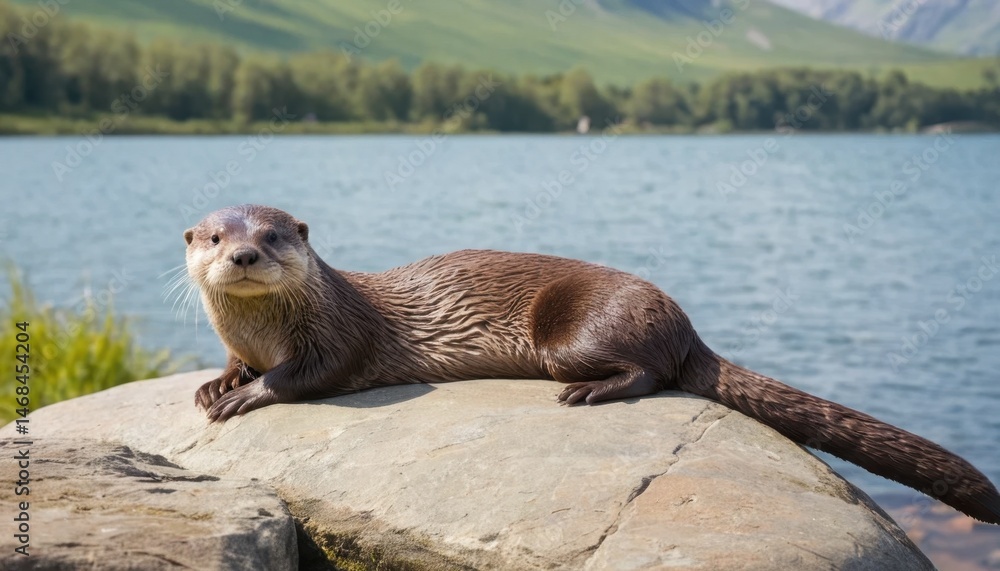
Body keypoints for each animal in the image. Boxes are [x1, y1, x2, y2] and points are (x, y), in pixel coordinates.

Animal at [183, 204, 1000, 525]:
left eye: (274, 235)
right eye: (216, 235)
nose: (244, 254)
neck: (263, 334)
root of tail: (682, 320)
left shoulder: (339, 337)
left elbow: (308, 377)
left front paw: (246, 394)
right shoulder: (245, 339)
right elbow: (230, 361)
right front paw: (217, 380)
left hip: (575, 329)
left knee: (651, 373)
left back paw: (586, 393)